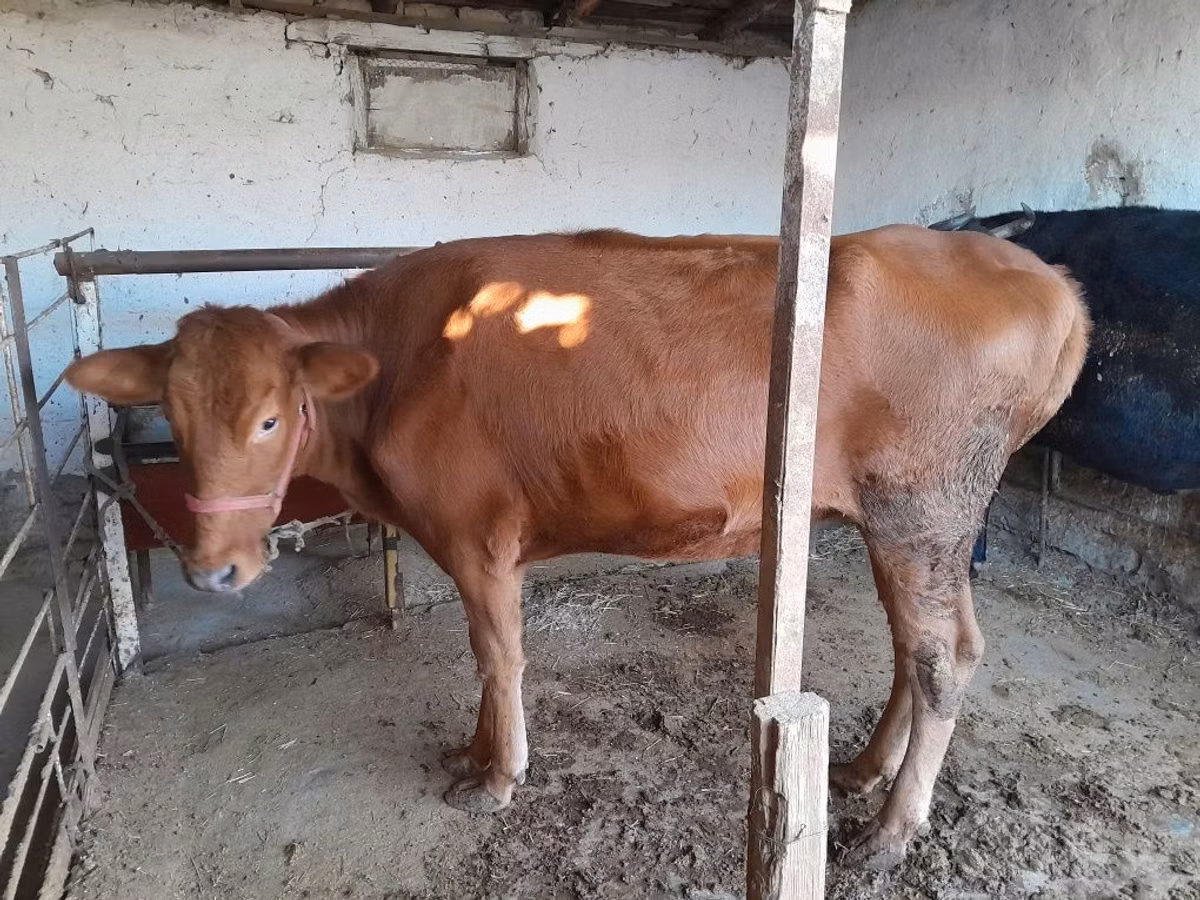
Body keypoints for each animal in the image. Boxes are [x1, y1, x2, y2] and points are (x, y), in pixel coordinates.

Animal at [65, 225, 1089, 868]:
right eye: (173, 417)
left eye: (272, 417)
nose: (215, 568)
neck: (400, 362)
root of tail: (1045, 278)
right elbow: (485, 662)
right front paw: (470, 754)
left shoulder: (476, 533)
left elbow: (498, 655)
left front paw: (498, 776)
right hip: (904, 522)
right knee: (918, 647)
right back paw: (864, 771)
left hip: (925, 506)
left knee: (944, 657)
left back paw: (891, 828)